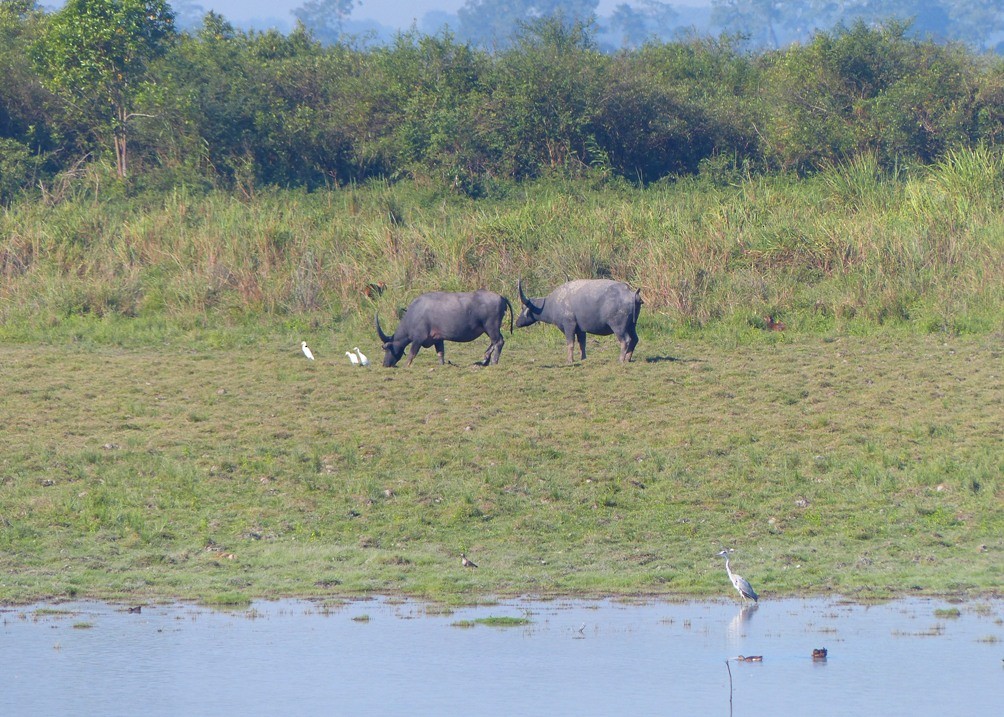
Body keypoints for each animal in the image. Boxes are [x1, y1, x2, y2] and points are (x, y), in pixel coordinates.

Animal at [377, 289, 518, 365]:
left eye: (387, 348)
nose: (385, 364)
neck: (414, 314)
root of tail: (501, 297)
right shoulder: (438, 339)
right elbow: (441, 354)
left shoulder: (418, 339)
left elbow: (412, 354)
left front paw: (406, 365)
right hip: (488, 329)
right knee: (493, 343)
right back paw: (485, 360)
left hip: (491, 327)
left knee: (498, 342)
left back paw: (494, 361)